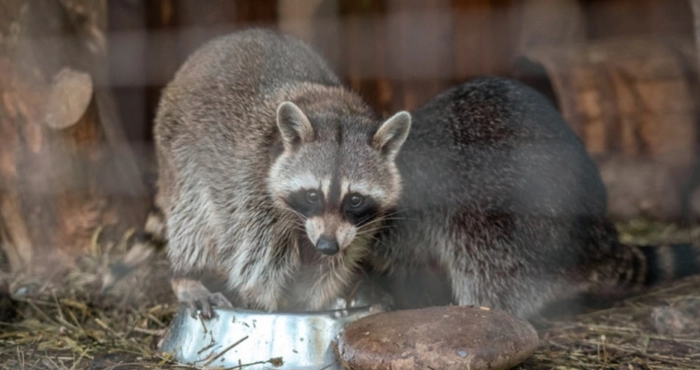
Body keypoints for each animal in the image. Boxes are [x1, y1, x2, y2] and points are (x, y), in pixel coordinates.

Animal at [104, 28, 410, 318]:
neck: (335, 111)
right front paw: (264, 305)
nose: (326, 245)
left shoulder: (358, 227)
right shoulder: (252, 190)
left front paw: (312, 302)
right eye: (312, 195)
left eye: (355, 199)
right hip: (180, 146)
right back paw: (186, 276)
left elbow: (331, 266)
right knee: (192, 217)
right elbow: (257, 264)